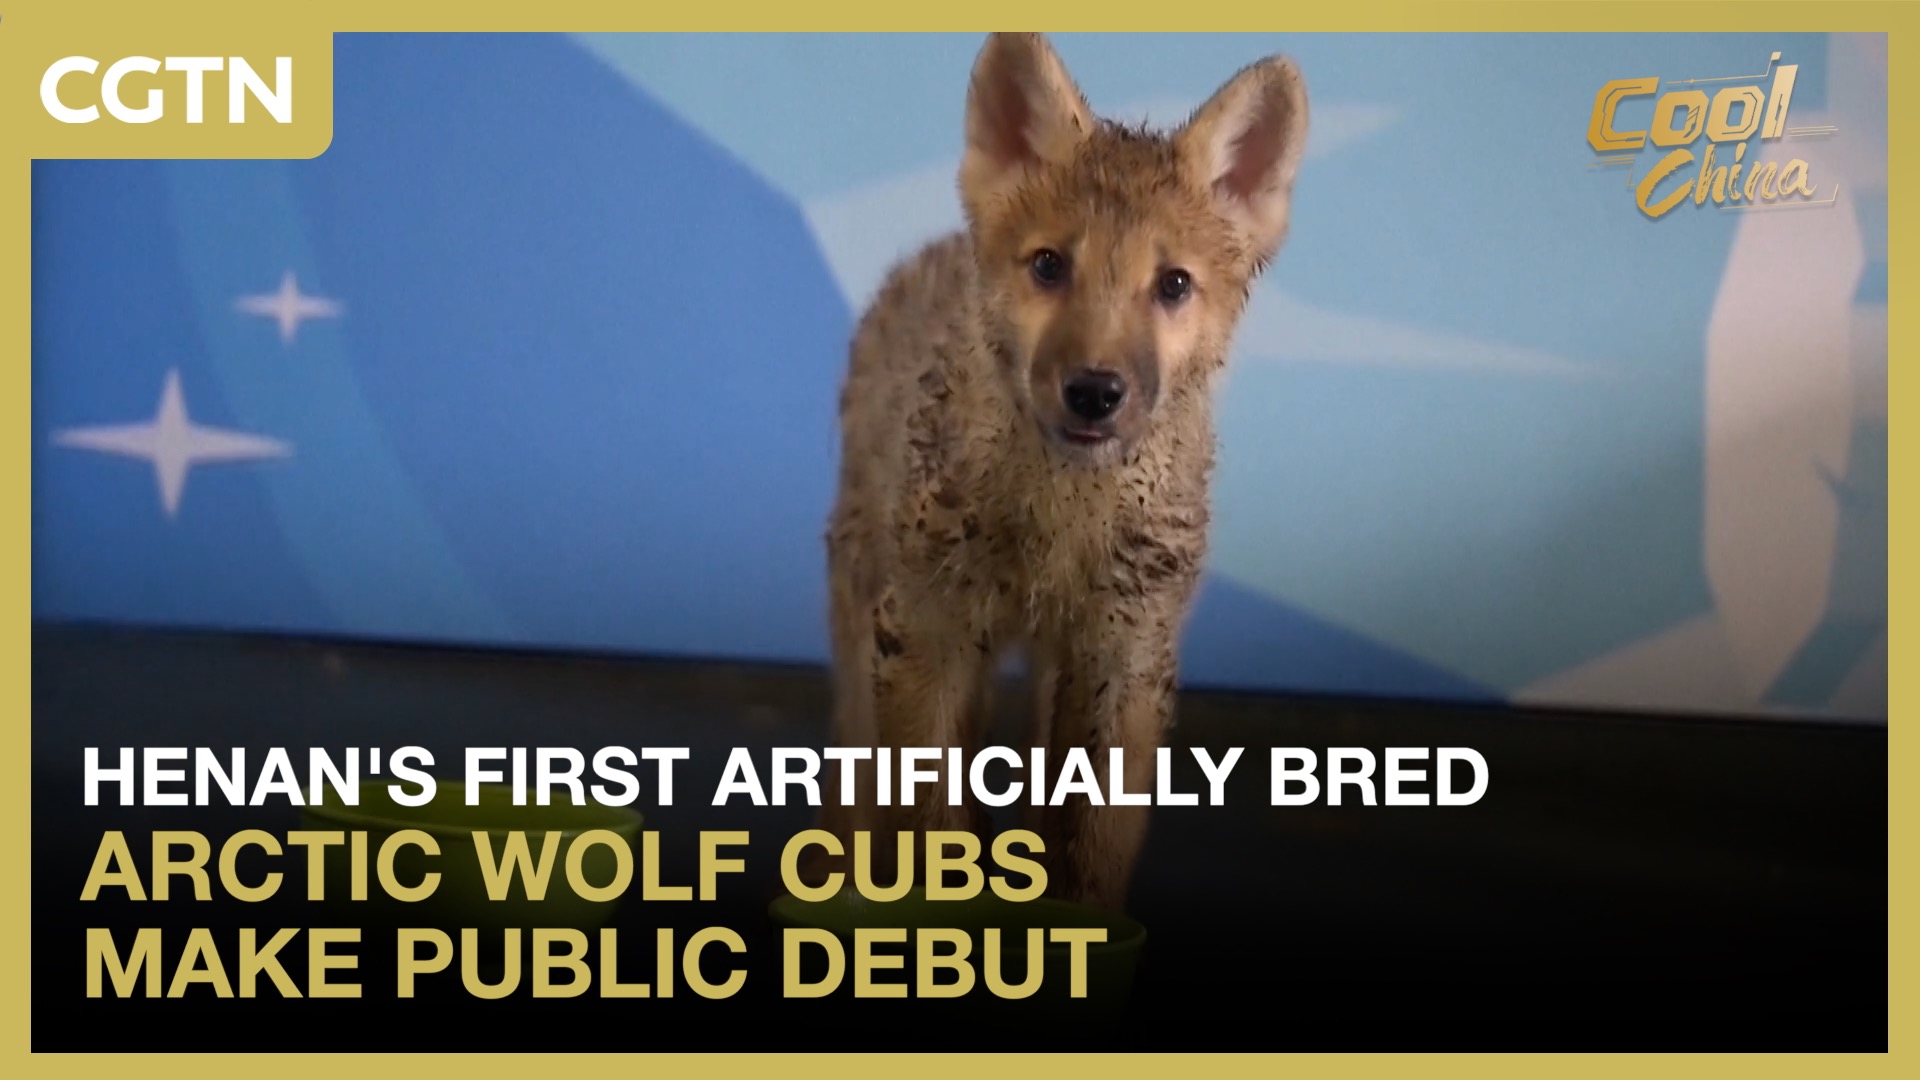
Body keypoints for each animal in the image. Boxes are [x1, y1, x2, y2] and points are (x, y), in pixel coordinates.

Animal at [816, 32, 1309, 909]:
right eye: (1049, 266)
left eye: (1173, 284)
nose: (1094, 391)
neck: (1061, 525)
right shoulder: (928, 631)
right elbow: (926, 835)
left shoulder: (1124, 652)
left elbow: (1090, 851)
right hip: (868, 598)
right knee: (855, 774)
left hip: (1052, 666)